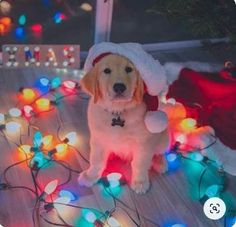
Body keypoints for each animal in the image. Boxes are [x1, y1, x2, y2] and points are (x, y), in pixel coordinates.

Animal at [78, 53, 169, 193]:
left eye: (129, 69)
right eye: (107, 71)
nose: (119, 87)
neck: (118, 111)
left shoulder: (143, 142)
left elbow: (139, 163)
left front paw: (140, 182)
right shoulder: (98, 139)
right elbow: (96, 160)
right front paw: (90, 176)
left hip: (162, 135)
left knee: (159, 151)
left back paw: (160, 162)